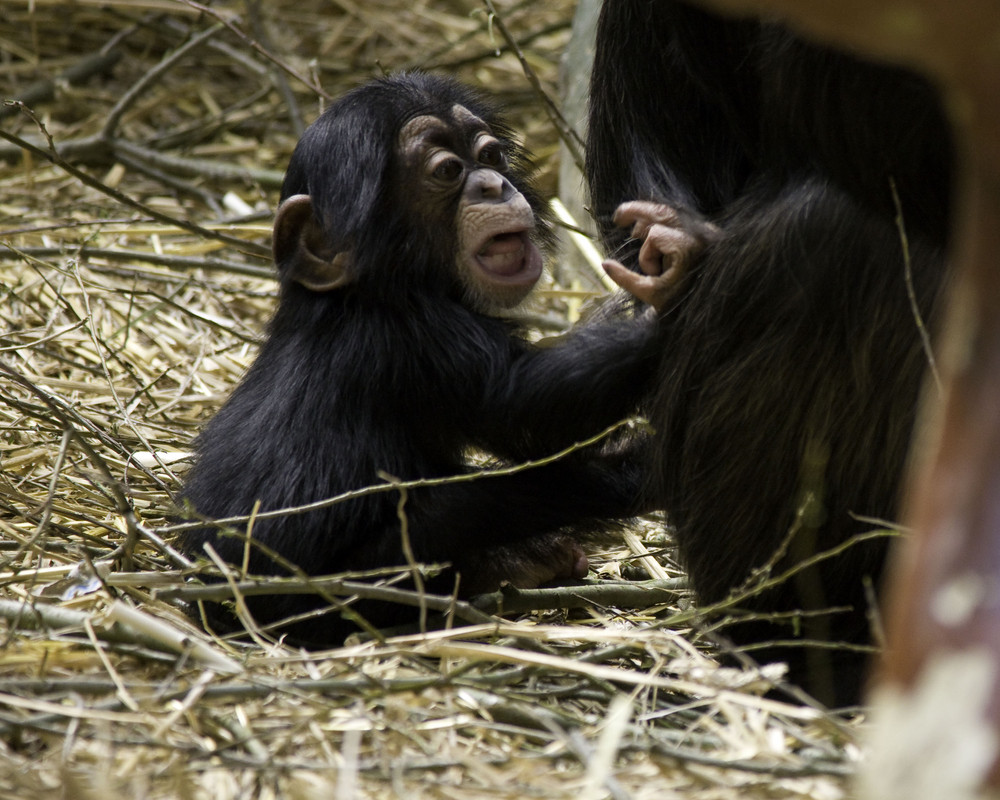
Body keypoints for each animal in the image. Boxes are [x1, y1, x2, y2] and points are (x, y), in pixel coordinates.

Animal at [181, 72, 660, 648]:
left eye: (489, 155)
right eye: (448, 171)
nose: (492, 184)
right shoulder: (416, 337)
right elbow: (524, 403)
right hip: (321, 599)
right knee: (490, 500)